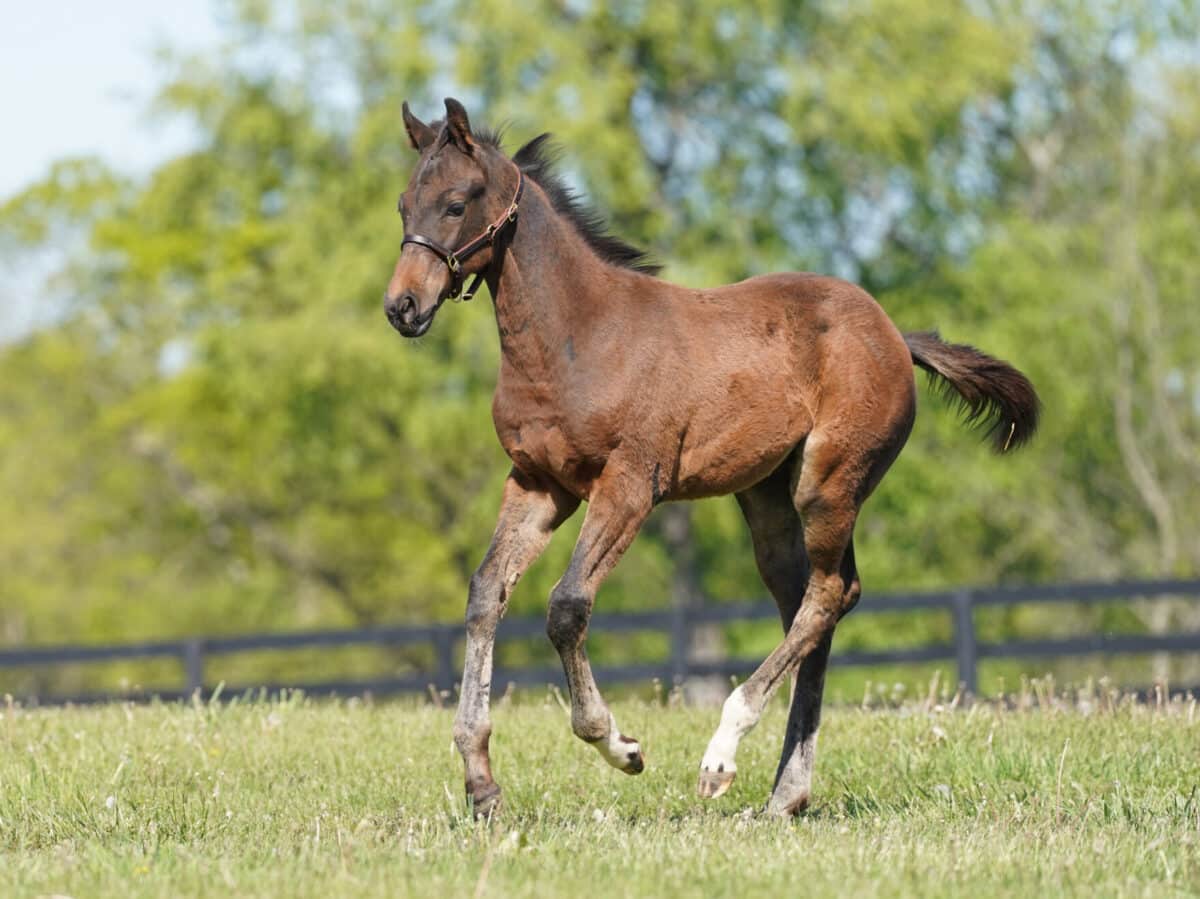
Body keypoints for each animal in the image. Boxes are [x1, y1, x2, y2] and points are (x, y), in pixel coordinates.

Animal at [379, 98, 1036, 811]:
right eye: (404, 205)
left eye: (456, 202)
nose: (402, 307)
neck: (578, 339)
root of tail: (893, 334)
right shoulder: (536, 483)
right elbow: (485, 595)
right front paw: (481, 783)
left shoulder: (630, 485)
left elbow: (567, 606)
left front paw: (620, 746)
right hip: (767, 497)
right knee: (811, 603)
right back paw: (785, 795)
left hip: (828, 483)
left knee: (830, 594)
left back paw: (723, 755)